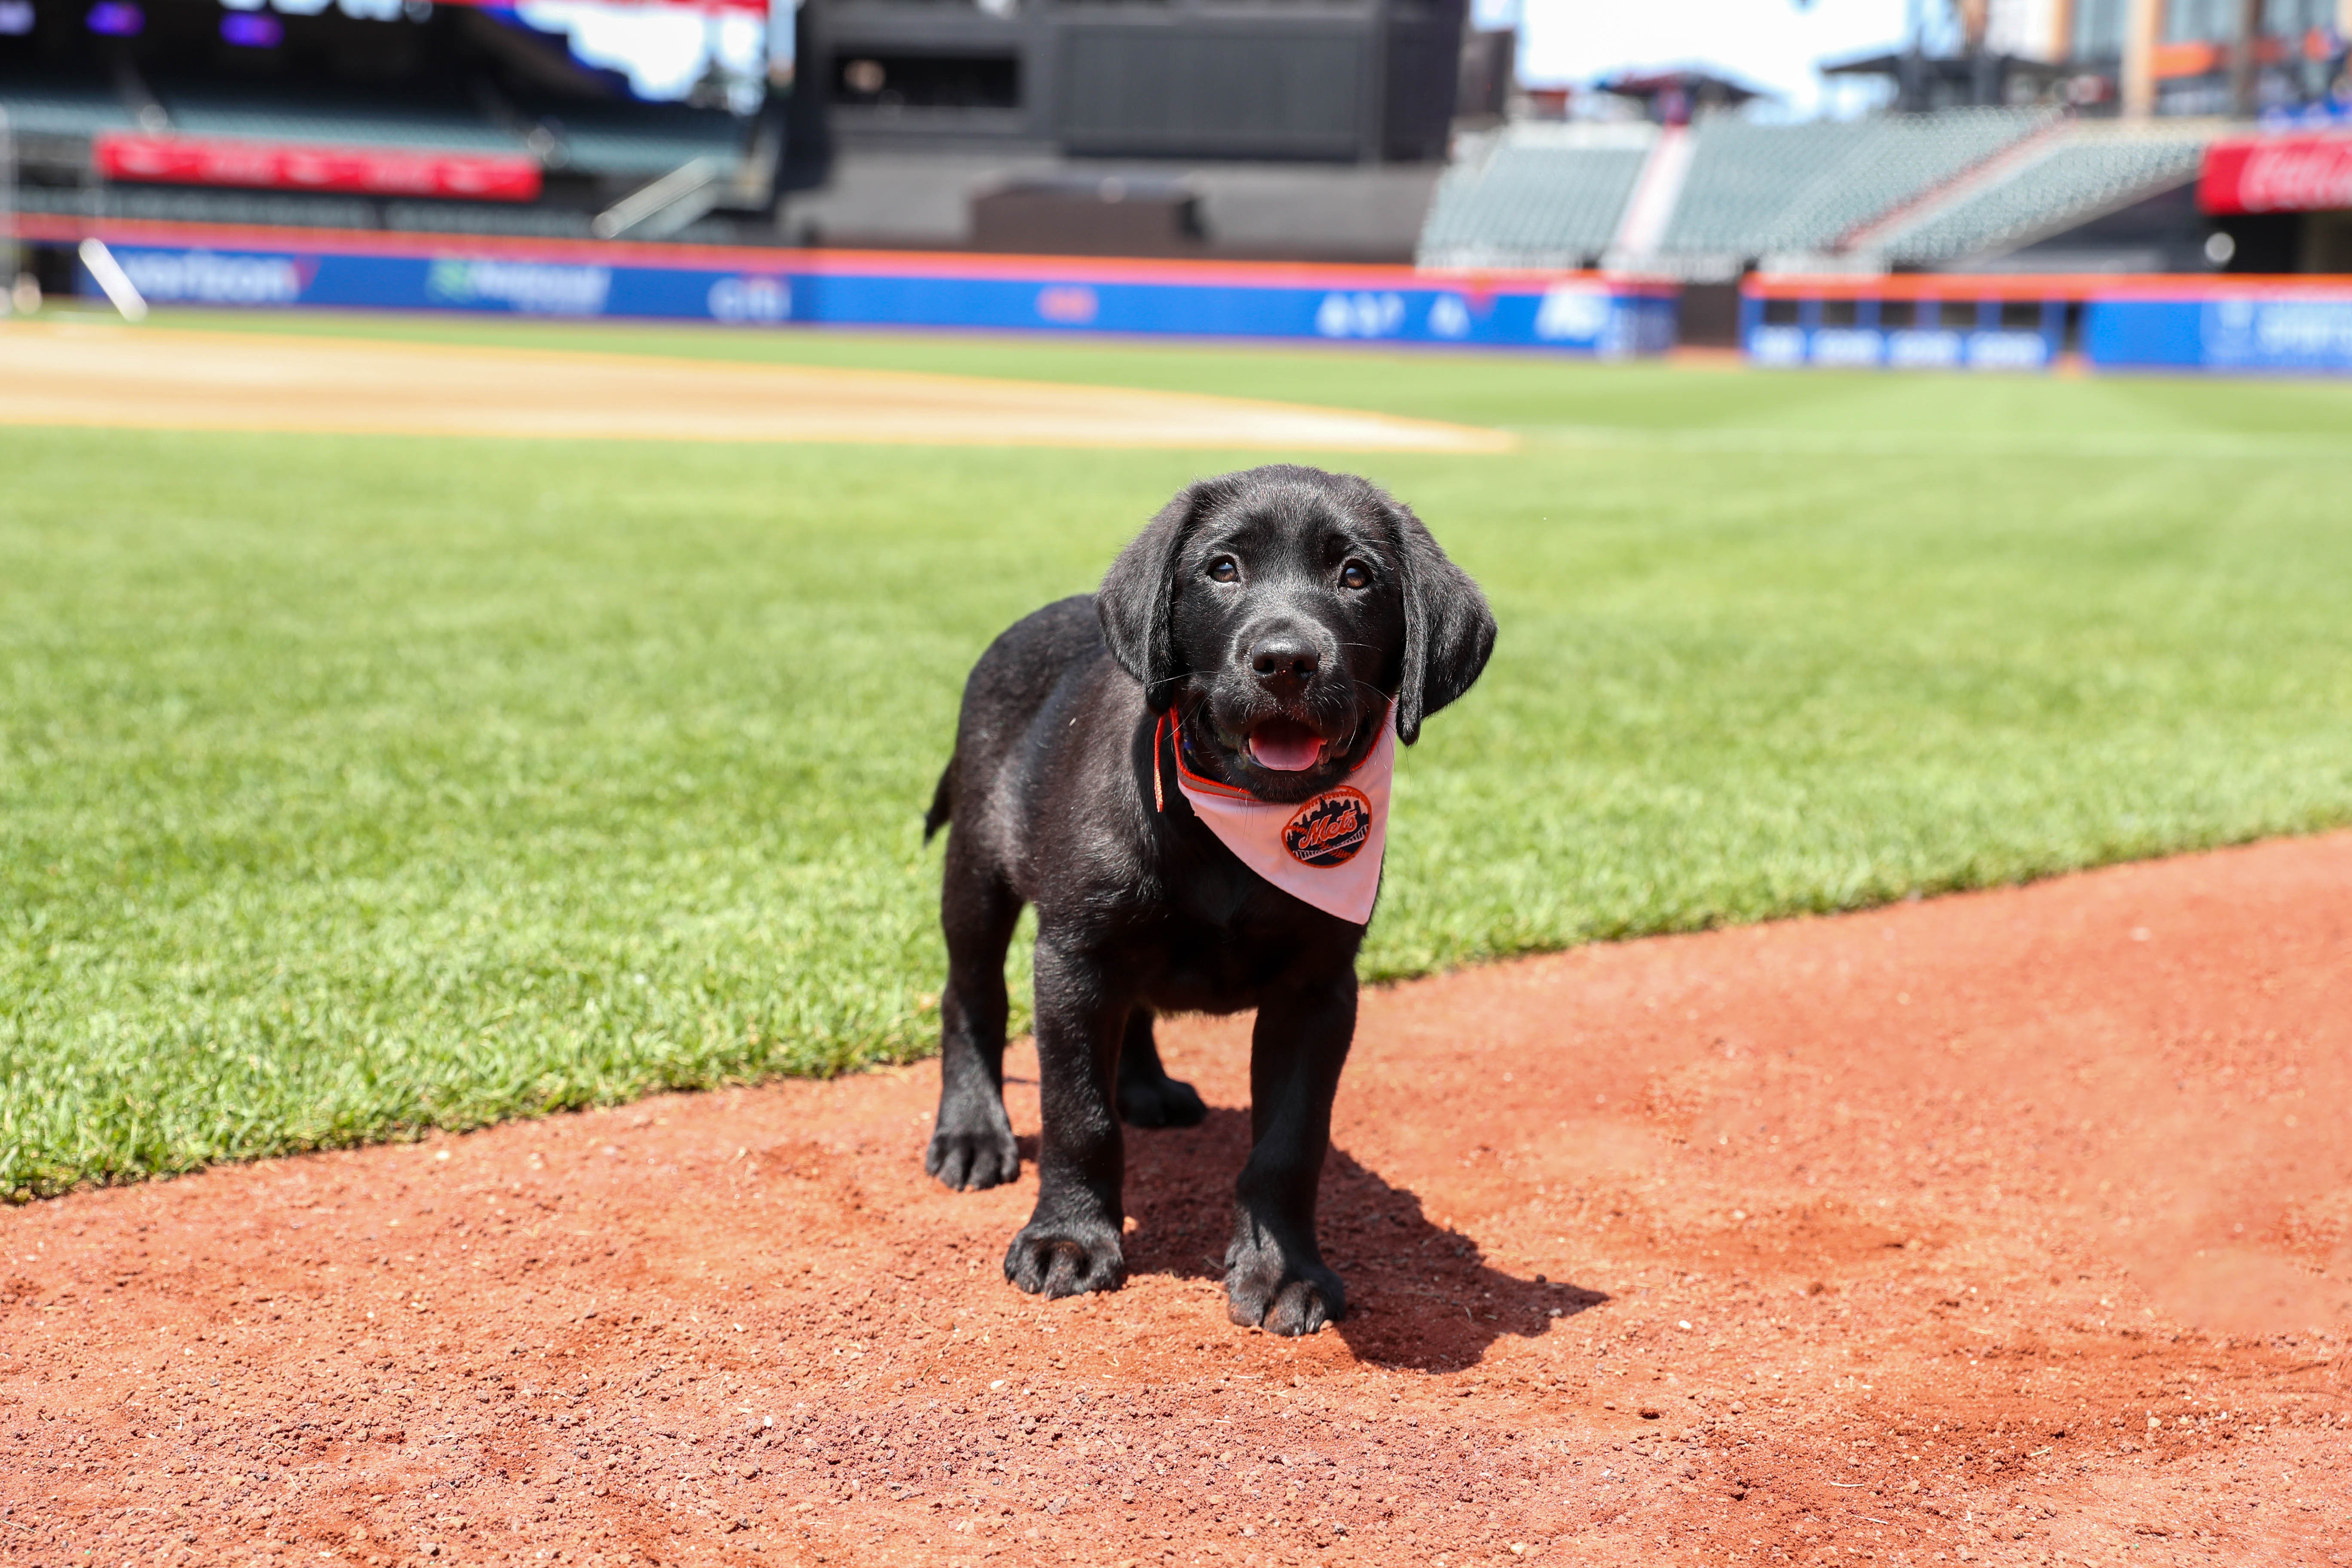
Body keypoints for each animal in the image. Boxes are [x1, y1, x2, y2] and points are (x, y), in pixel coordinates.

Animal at [917, 463, 1486, 1335]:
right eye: (1223, 569)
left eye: (1357, 576)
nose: (1286, 661)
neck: (1238, 820)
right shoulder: (1073, 955)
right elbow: (1079, 1113)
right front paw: (1069, 1239)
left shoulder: (1319, 990)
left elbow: (1290, 1142)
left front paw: (1282, 1270)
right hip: (978, 869)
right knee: (970, 995)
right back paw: (974, 1131)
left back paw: (1146, 1086)